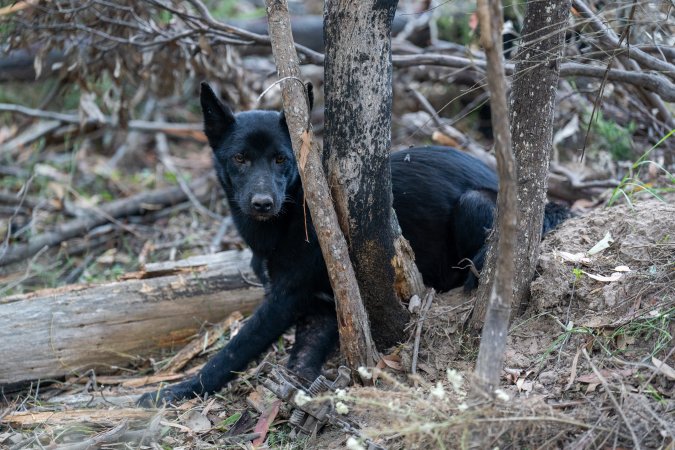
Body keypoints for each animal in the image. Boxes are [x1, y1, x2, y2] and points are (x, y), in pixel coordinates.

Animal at [140, 82, 568, 406]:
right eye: (240, 158)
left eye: (281, 159)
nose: (262, 203)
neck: (294, 212)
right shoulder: (321, 308)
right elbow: (301, 359)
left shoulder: (283, 300)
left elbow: (232, 351)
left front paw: (177, 391)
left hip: (474, 202)